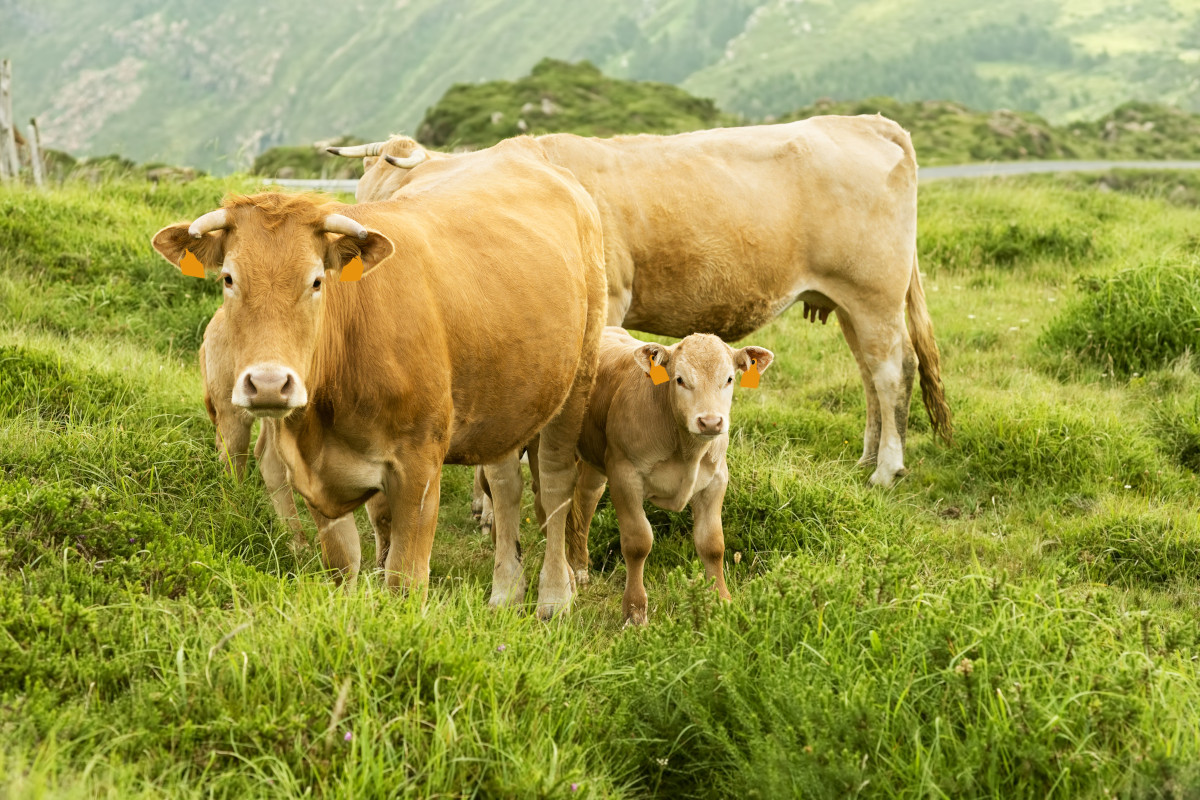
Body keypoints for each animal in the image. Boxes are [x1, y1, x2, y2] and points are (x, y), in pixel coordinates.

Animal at [157, 137, 609, 618]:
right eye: (228, 278)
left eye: (316, 281)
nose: (268, 384)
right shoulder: (315, 478)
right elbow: (343, 565)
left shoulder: (419, 466)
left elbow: (405, 579)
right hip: (507, 396)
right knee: (506, 486)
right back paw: (505, 592)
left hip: (577, 378)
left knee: (556, 484)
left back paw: (555, 596)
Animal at [336, 115, 945, 489]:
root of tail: (865, 121)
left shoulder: (605, 306)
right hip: (850, 303)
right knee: (869, 375)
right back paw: (867, 457)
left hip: (873, 293)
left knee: (892, 373)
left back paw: (887, 469)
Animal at [566, 326, 772, 623]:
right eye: (680, 379)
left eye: (729, 379)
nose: (710, 422)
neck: (687, 452)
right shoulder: (624, 476)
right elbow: (638, 542)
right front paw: (634, 611)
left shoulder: (716, 481)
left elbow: (712, 544)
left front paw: (722, 601)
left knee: (586, 496)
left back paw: (580, 565)